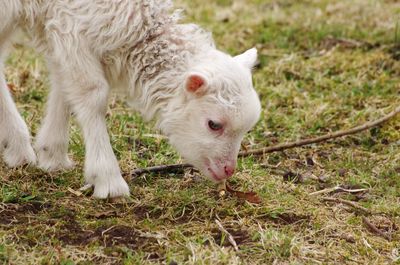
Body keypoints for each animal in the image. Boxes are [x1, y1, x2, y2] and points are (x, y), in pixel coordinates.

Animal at [0, 1, 262, 197]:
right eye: (213, 124)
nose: (228, 170)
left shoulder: (64, 26)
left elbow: (64, 83)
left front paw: (51, 154)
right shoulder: (72, 25)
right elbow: (92, 94)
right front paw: (108, 180)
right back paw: (18, 145)